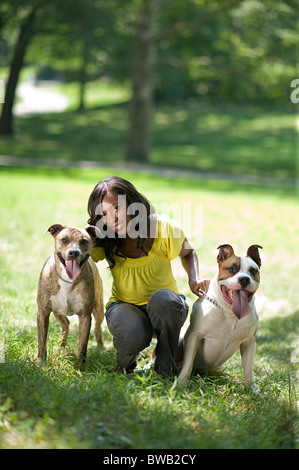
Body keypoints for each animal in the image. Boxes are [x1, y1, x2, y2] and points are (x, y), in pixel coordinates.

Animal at [37, 224, 105, 364]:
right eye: (64, 240)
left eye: (84, 241)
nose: (73, 252)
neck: (67, 280)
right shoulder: (43, 312)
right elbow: (42, 340)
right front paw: (41, 362)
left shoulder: (85, 316)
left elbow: (83, 345)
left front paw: (80, 365)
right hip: (58, 312)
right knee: (66, 326)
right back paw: (62, 349)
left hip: (99, 308)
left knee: (98, 326)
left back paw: (100, 348)